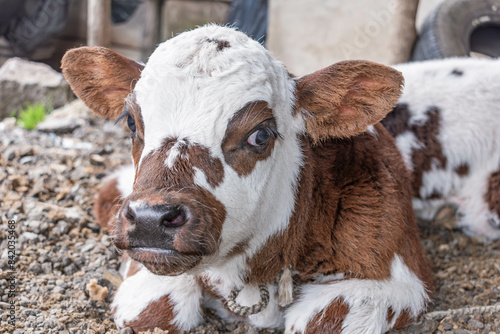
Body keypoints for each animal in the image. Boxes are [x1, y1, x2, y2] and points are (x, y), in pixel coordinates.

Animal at [63, 26, 434, 334]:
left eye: (260, 134)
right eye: (130, 122)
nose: (150, 219)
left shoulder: (388, 277)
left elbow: (319, 321)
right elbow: (153, 310)